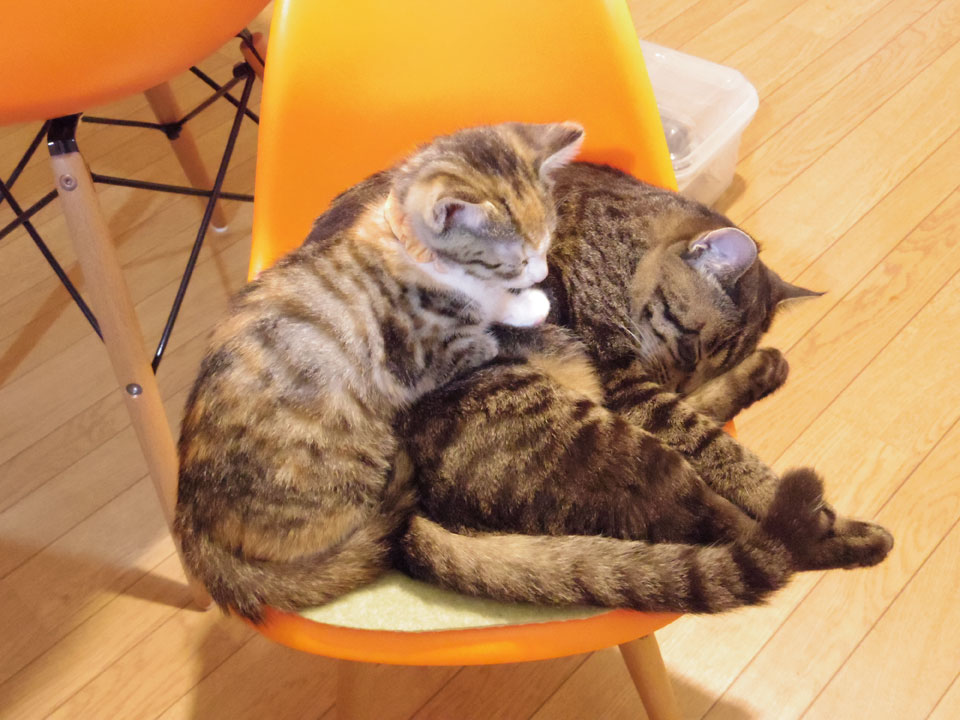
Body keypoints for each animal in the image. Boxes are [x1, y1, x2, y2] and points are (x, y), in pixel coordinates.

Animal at [175, 122, 586, 621]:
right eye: (516, 260)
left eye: (547, 243)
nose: (540, 272)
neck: (409, 248)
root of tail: (192, 516)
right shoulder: (434, 355)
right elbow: (488, 322)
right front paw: (526, 304)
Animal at [396, 162, 894, 614]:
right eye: (691, 348)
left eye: (704, 363)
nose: (680, 380)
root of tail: (409, 516)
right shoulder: (626, 381)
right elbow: (720, 450)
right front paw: (792, 500)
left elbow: (702, 421)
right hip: (609, 442)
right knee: (748, 534)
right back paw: (853, 535)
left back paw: (768, 369)